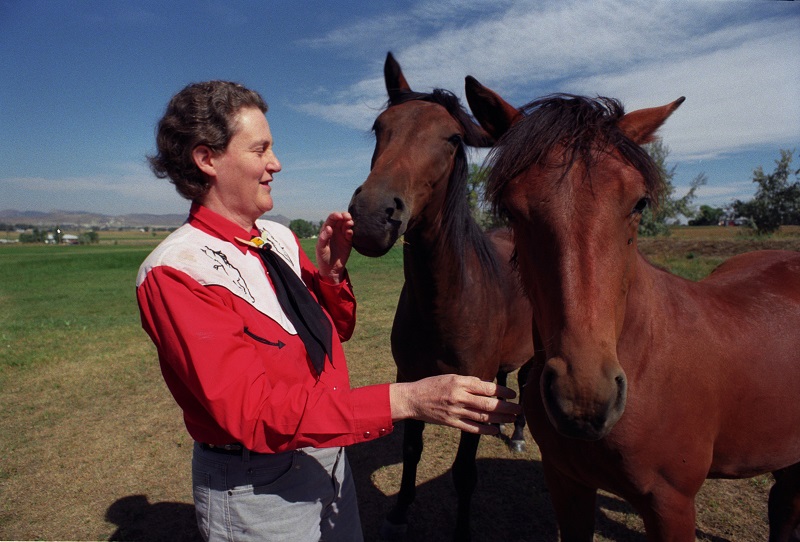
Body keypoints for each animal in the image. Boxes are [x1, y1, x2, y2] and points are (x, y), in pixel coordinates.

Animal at [348, 53, 534, 541]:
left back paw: (517, 435)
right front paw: (399, 510)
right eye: (380, 126)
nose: (373, 216)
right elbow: (411, 449)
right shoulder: (411, 375)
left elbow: (464, 472)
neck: (449, 302)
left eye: (451, 139)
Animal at [465, 77, 800, 541]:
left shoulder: (671, 505)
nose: (584, 399)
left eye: (640, 203)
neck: (647, 359)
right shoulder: (567, 484)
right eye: (512, 211)